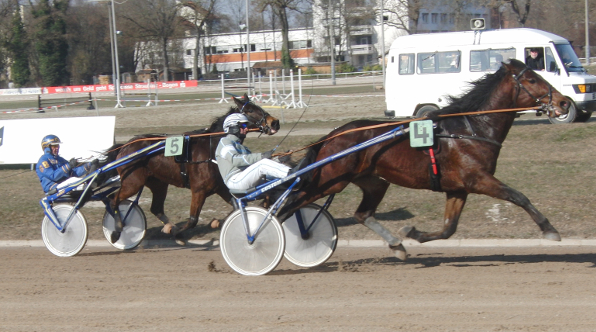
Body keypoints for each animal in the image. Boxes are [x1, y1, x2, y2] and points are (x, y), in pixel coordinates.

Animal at [107, 94, 280, 243]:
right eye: (250, 110)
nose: (274, 122)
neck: (212, 148)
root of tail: (125, 146)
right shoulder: (199, 190)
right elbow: (192, 220)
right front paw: (178, 233)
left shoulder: (219, 187)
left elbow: (236, 205)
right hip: (133, 182)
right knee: (113, 199)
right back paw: (117, 230)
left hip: (158, 183)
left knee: (156, 208)